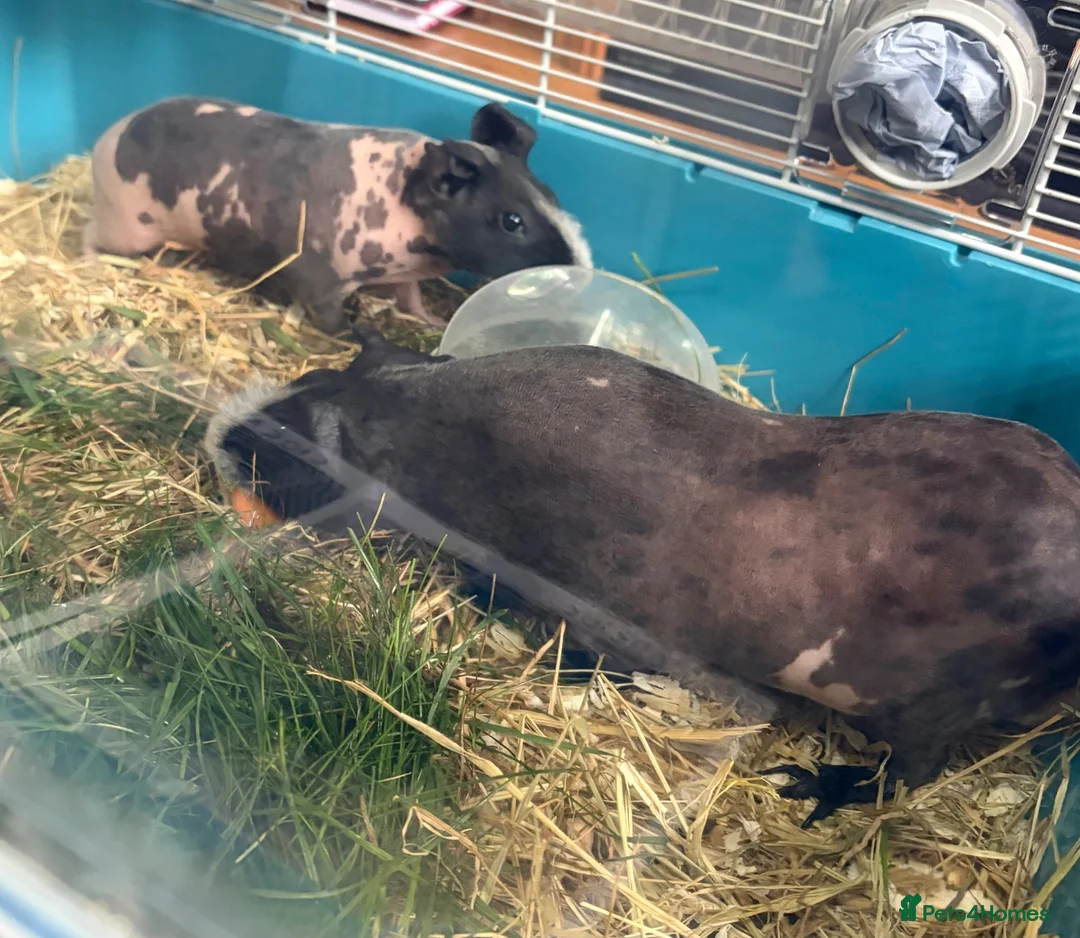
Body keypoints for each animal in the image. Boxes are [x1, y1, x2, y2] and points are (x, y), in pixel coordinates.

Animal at [83, 97, 591, 331]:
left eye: (550, 193)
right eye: (512, 221)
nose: (581, 266)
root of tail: (106, 139)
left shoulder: (406, 275)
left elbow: (410, 299)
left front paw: (430, 323)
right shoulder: (320, 277)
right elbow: (330, 318)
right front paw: (352, 331)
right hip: (124, 228)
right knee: (87, 237)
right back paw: (93, 262)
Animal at [203, 330, 1080, 826]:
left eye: (315, 438)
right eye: (322, 370)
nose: (225, 430)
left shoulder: (609, 619)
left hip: (930, 708)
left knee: (912, 774)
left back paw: (818, 785)